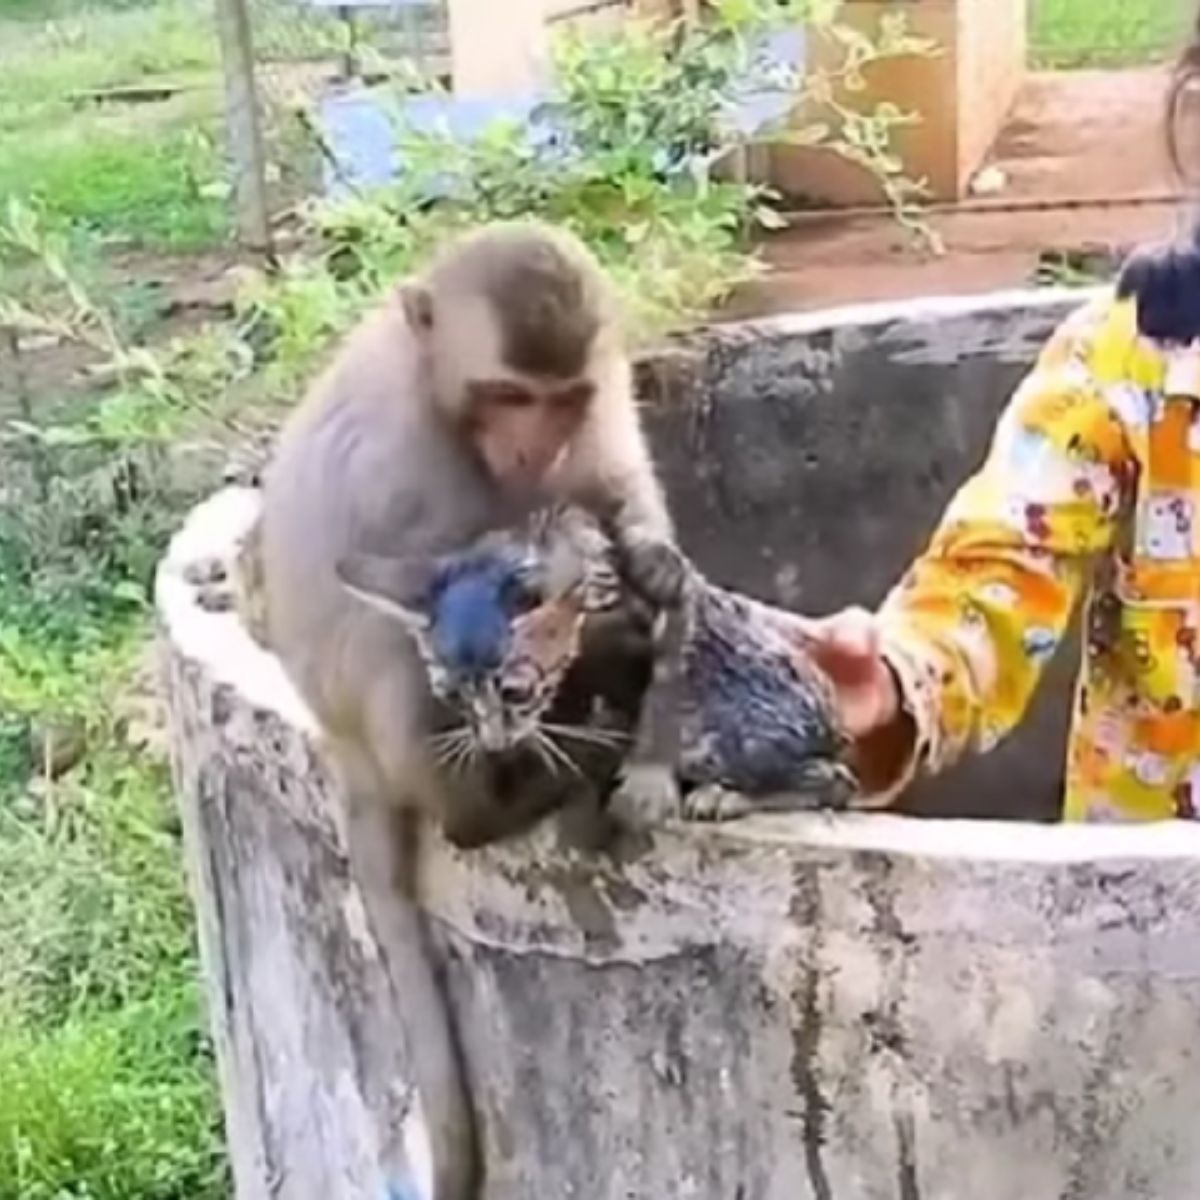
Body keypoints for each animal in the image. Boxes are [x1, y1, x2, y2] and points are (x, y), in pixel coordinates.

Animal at [258, 218, 672, 1200]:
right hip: (374, 723)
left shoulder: (602, 386)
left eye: (559, 399)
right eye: (506, 396)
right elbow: (445, 589)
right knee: (394, 665)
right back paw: (522, 795)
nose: (532, 449)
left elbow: (612, 490)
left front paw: (649, 565)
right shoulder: (401, 457)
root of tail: (336, 751)